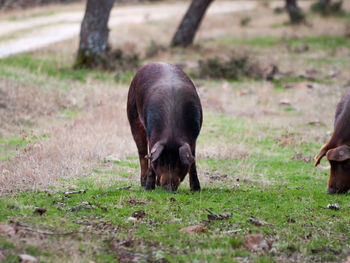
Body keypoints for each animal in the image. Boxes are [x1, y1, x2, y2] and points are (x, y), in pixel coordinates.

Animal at [127, 63, 202, 193]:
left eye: (179, 162)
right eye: (161, 161)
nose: (168, 188)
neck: (172, 132)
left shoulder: (193, 138)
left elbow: (192, 160)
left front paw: (196, 190)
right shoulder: (152, 136)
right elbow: (151, 158)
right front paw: (148, 188)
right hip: (132, 114)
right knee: (142, 153)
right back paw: (143, 184)